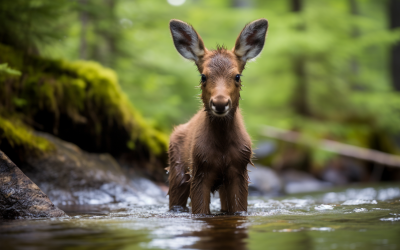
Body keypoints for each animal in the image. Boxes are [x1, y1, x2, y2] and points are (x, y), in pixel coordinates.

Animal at [166, 18, 268, 214]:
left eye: (237, 76)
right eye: (203, 77)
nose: (220, 103)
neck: (222, 147)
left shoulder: (240, 171)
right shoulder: (199, 172)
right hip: (177, 172)